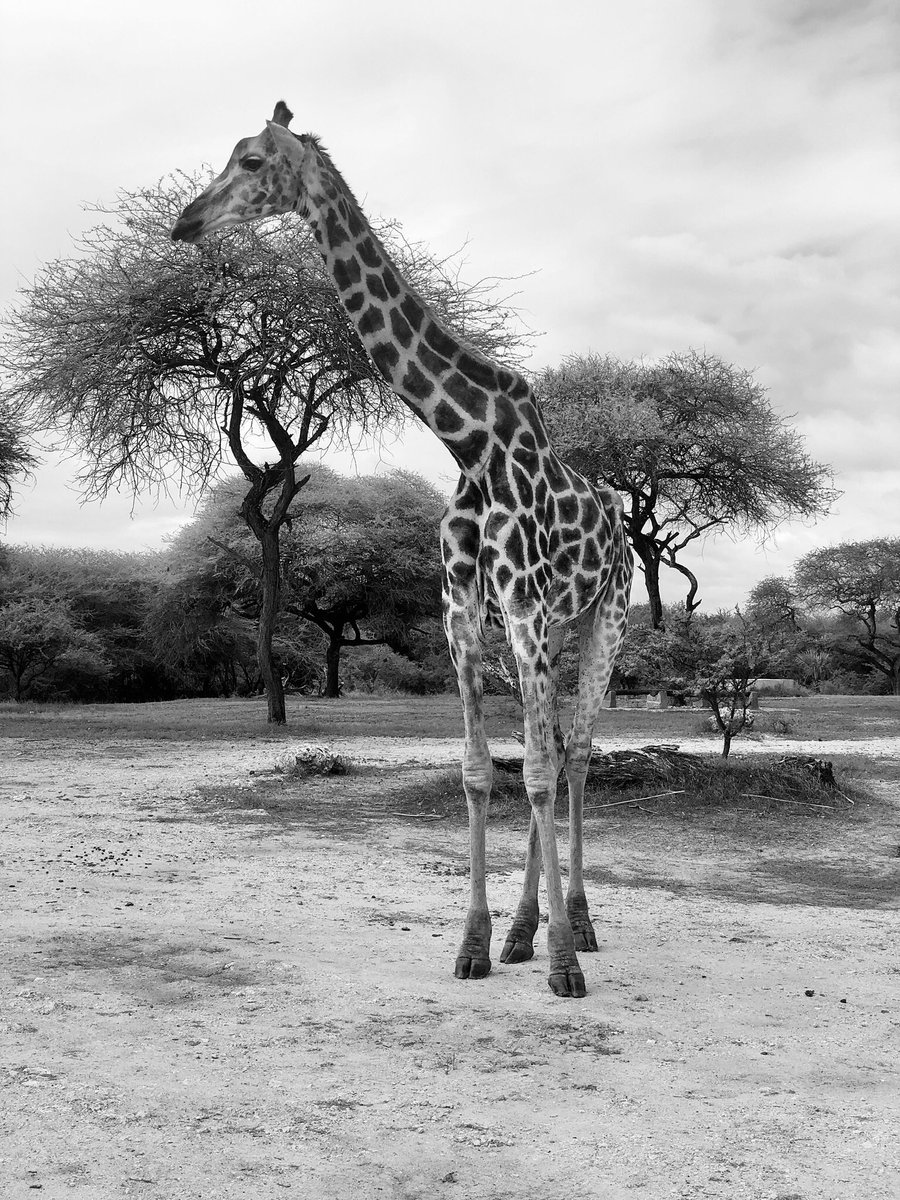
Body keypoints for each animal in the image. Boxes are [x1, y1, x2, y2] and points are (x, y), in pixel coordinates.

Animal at [172, 103, 633, 998]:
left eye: (252, 162)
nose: (185, 223)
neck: (469, 438)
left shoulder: (520, 598)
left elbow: (535, 770)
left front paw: (562, 962)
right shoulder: (462, 606)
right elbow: (480, 771)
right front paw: (478, 944)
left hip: (604, 617)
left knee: (577, 754)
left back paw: (581, 928)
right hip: (555, 625)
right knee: (556, 746)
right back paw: (525, 932)